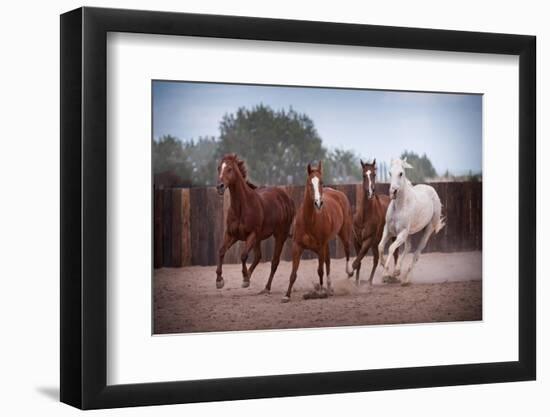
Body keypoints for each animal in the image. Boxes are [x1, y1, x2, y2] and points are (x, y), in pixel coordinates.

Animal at [216, 153, 298, 292]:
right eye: (218, 168)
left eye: (230, 169)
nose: (220, 186)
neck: (242, 207)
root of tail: (287, 199)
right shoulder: (232, 234)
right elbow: (221, 251)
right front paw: (219, 280)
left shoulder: (252, 234)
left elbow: (243, 256)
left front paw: (245, 279)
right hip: (259, 239)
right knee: (258, 256)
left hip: (280, 235)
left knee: (274, 262)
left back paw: (266, 287)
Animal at [282, 160, 356, 302]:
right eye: (310, 183)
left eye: (321, 182)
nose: (318, 203)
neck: (309, 220)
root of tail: (338, 194)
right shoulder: (297, 246)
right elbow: (293, 273)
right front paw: (286, 295)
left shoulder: (321, 246)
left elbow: (320, 270)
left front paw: (321, 292)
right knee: (328, 262)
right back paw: (329, 287)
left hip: (344, 232)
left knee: (347, 250)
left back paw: (348, 272)